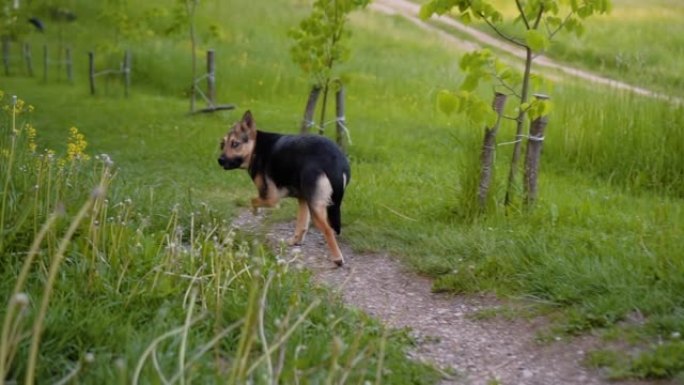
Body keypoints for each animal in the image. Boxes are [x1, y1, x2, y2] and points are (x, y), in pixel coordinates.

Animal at [218, 109, 350, 266]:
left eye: (235, 144)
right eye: (222, 144)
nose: (219, 160)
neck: (255, 149)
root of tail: (335, 162)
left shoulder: (271, 199)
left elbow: (253, 200)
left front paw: (256, 211)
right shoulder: (302, 199)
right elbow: (301, 224)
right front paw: (295, 241)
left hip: (316, 208)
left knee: (328, 230)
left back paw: (337, 258)